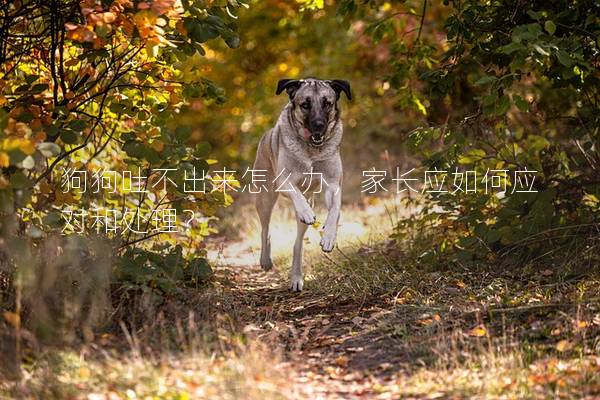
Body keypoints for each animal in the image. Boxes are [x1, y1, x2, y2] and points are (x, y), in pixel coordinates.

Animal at [253, 77, 352, 290]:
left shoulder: (333, 185)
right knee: (265, 230)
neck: (311, 149)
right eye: (305, 105)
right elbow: (295, 192)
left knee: (297, 244)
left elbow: (335, 210)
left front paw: (329, 237)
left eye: (327, 103)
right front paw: (305, 211)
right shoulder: (284, 180)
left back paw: (296, 277)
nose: (319, 125)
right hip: (264, 198)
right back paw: (266, 260)